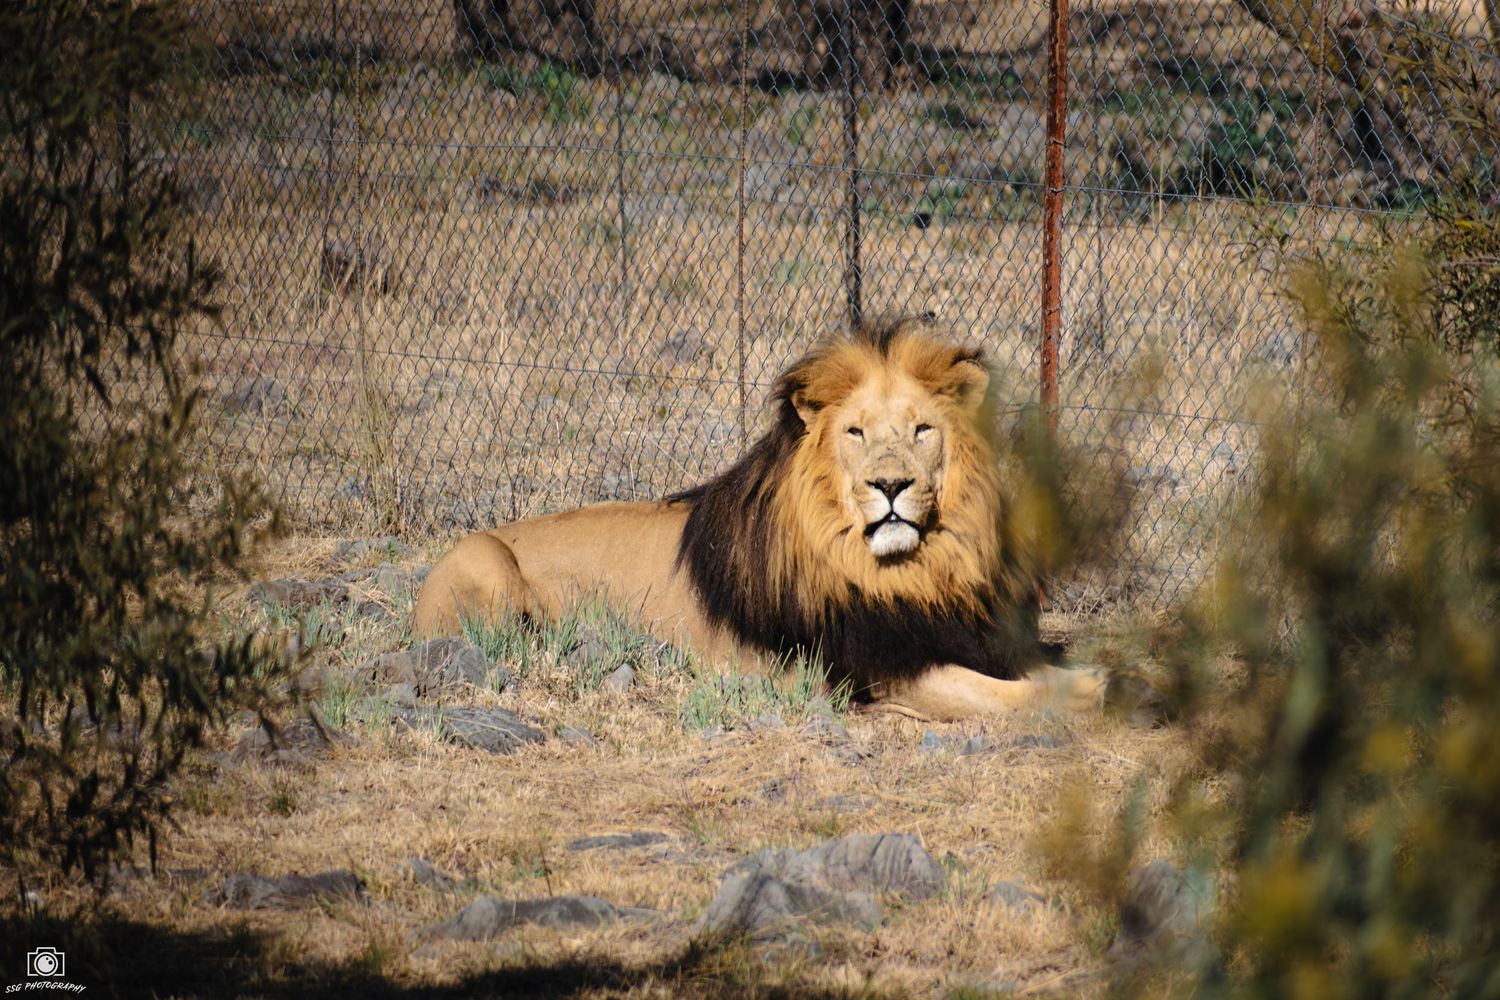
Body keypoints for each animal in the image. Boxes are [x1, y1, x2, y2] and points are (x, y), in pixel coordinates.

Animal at [413, 316, 1105, 719]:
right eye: (856, 432)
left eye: (922, 430)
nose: (890, 485)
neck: (912, 572)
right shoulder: (883, 669)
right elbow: (1014, 697)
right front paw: (1097, 695)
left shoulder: (971, 635)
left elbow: (1039, 669)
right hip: (486, 560)